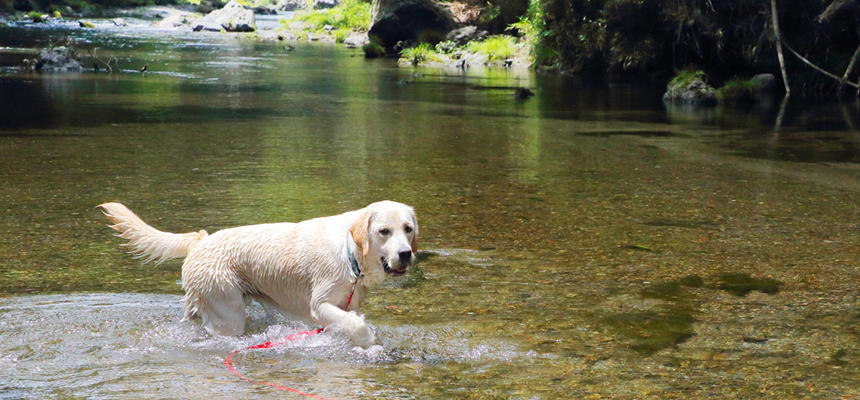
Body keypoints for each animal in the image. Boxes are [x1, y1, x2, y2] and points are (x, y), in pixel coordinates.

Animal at [99, 200, 418, 346]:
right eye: (384, 231)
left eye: (408, 229)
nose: (406, 254)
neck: (350, 251)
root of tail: (200, 240)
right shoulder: (319, 305)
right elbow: (357, 326)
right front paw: (370, 341)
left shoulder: (344, 305)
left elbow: (348, 323)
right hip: (227, 312)